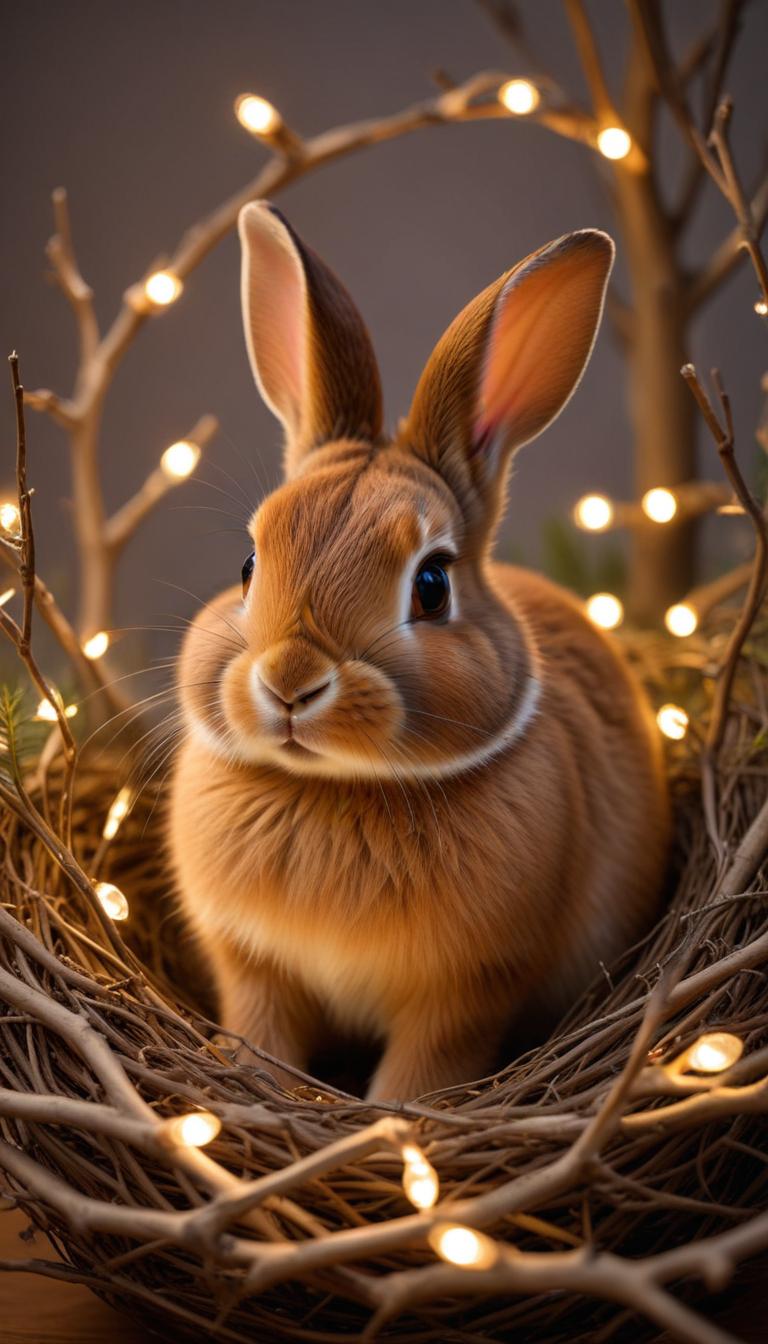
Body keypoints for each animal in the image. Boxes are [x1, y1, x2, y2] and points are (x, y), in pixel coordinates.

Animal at [168, 201, 670, 1101]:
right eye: (248, 565)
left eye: (431, 585)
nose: (291, 682)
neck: (334, 791)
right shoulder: (254, 968)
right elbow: (260, 1030)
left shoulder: (468, 991)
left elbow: (424, 1069)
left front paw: (395, 1117)